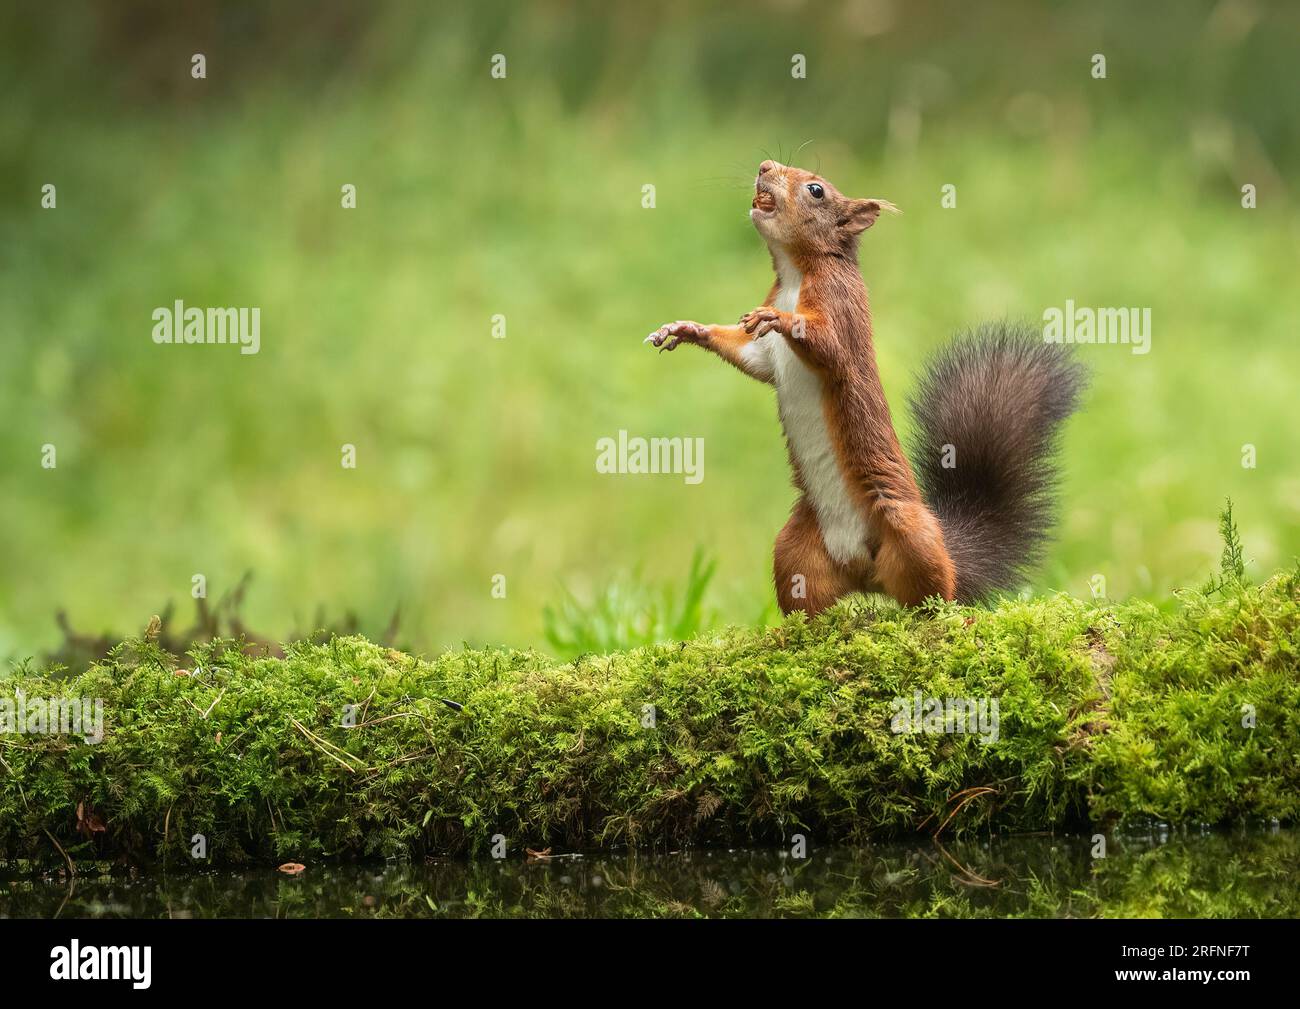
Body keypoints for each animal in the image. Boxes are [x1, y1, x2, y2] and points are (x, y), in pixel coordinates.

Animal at [644, 159, 1081, 613]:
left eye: (816, 190)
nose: (765, 166)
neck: (796, 273)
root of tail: (866, 573)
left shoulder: (840, 305)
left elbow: (829, 348)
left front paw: (781, 320)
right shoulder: (764, 349)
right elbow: (753, 358)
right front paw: (688, 329)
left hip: (909, 532)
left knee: (938, 590)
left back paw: (944, 611)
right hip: (794, 550)